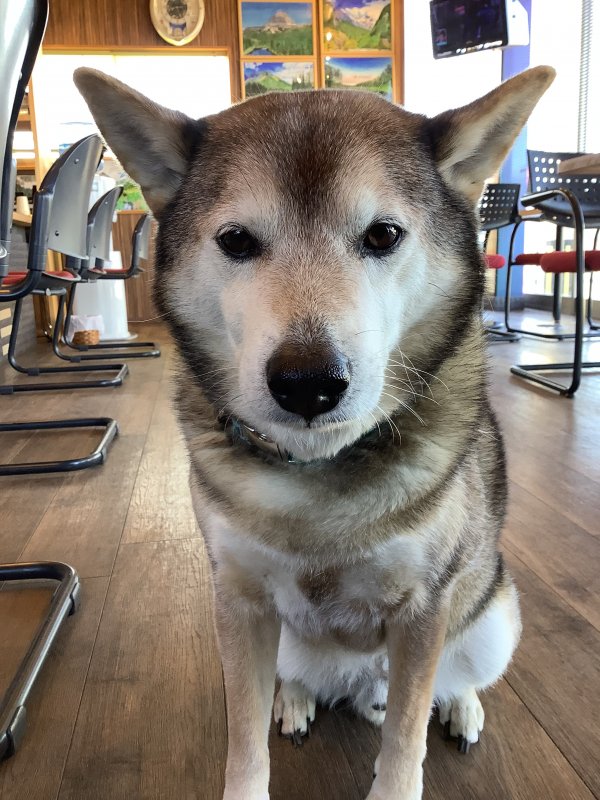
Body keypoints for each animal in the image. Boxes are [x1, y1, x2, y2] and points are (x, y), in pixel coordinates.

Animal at [75, 64, 554, 800]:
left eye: (382, 235)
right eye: (236, 241)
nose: (307, 383)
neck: (316, 468)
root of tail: (360, 683)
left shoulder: (423, 612)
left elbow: (404, 742)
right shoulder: (239, 601)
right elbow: (242, 742)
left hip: (494, 614)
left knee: (448, 680)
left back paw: (461, 706)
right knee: (298, 677)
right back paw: (297, 699)